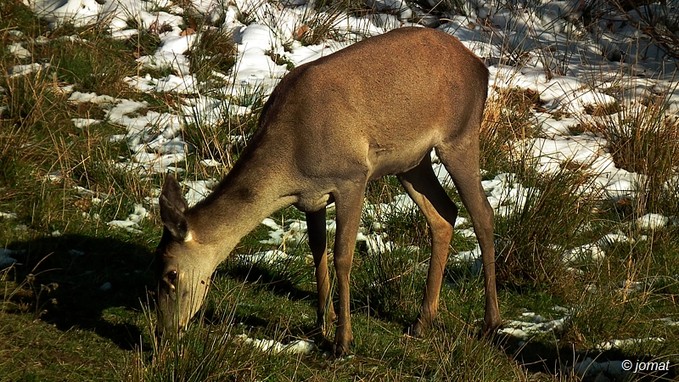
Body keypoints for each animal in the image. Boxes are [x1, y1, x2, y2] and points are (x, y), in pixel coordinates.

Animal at [157, 26, 502, 356]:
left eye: (170, 274)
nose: (166, 331)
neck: (290, 164)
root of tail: (480, 67)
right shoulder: (311, 197)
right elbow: (316, 249)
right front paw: (323, 322)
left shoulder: (352, 176)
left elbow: (342, 256)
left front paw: (342, 340)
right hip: (410, 163)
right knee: (444, 214)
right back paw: (422, 320)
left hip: (459, 135)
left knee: (483, 213)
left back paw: (490, 323)